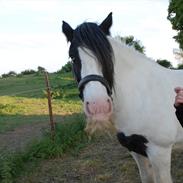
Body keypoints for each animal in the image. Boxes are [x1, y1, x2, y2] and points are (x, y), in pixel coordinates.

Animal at [62, 12, 183, 183]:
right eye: (72, 57)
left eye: (107, 55)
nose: (98, 105)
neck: (141, 95)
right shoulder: (135, 150)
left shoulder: (160, 152)